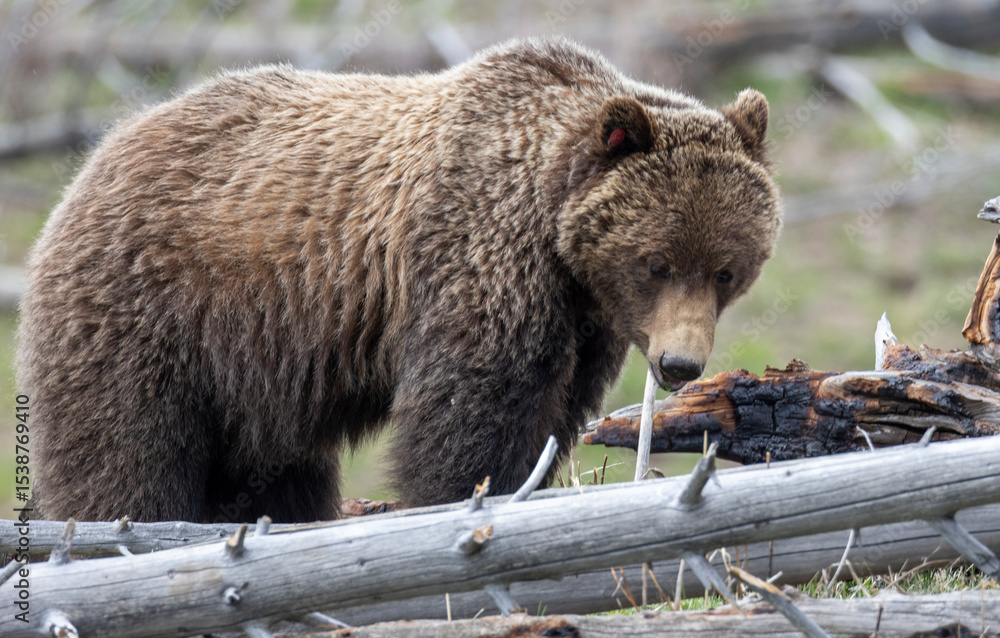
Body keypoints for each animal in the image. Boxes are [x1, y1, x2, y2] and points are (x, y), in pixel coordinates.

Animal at [17, 37, 781, 523]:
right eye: (657, 262)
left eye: (727, 269)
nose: (680, 365)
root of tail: (97, 156)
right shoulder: (477, 255)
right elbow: (472, 412)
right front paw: (466, 497)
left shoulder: (582, 321)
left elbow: (553, 414)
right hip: (150, 308)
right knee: (124, 451)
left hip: (254, 371)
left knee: (271, 472)